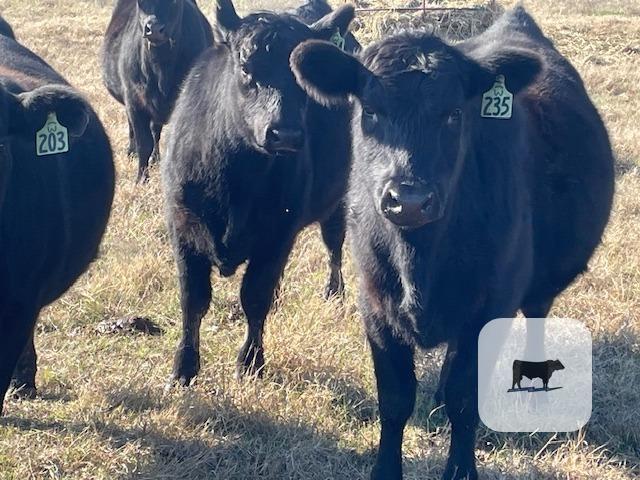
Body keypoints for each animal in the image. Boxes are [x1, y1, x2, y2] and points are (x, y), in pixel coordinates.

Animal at [101, 0, 213, 182]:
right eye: (141, 3)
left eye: (174, 2)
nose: (153, 28)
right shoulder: (134, 101)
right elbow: (143, 142)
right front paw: (141, 179)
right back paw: (132, 152)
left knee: (155, 131)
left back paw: (155, 158)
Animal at [162, 0, 356, 386]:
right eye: (245, 67)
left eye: (303, 77)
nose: (286, 134)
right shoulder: (182, 226)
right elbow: (193, 300)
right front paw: (183, 368)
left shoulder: (277, 234)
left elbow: (254, 297)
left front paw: (251, 362)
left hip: (336, 202)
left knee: (334, 247)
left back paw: (334, 293)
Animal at [291, 6, 614, 480]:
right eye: (370, 111)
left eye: (453, 114)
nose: (409, 200)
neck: (420, 261)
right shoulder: (375, 304)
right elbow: (395, 399)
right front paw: (385, 468)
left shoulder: (488, 308)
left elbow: (465, 399)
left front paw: (461, 469)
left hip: (538, 284)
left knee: (535, 316)